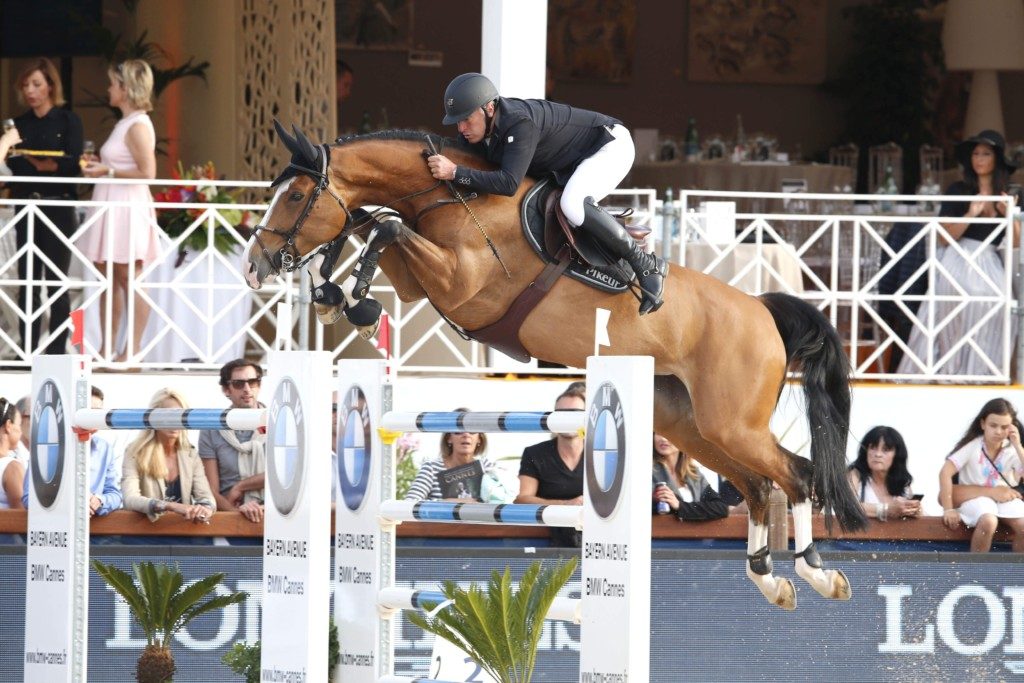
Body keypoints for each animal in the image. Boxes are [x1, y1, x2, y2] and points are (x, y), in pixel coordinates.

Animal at [245, 125, 864, 610]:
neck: (454, 196)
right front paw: (336, 296)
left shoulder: (461, 286)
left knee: (798, 475)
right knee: (759, 487)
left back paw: (817, 572)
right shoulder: (422, 283)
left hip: (733, 423)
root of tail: (761, 310)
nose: (254, 266)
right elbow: (372, 225)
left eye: (295, 194)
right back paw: (770, 581)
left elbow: (385, 226)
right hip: (691, 424)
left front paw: (355, 303)